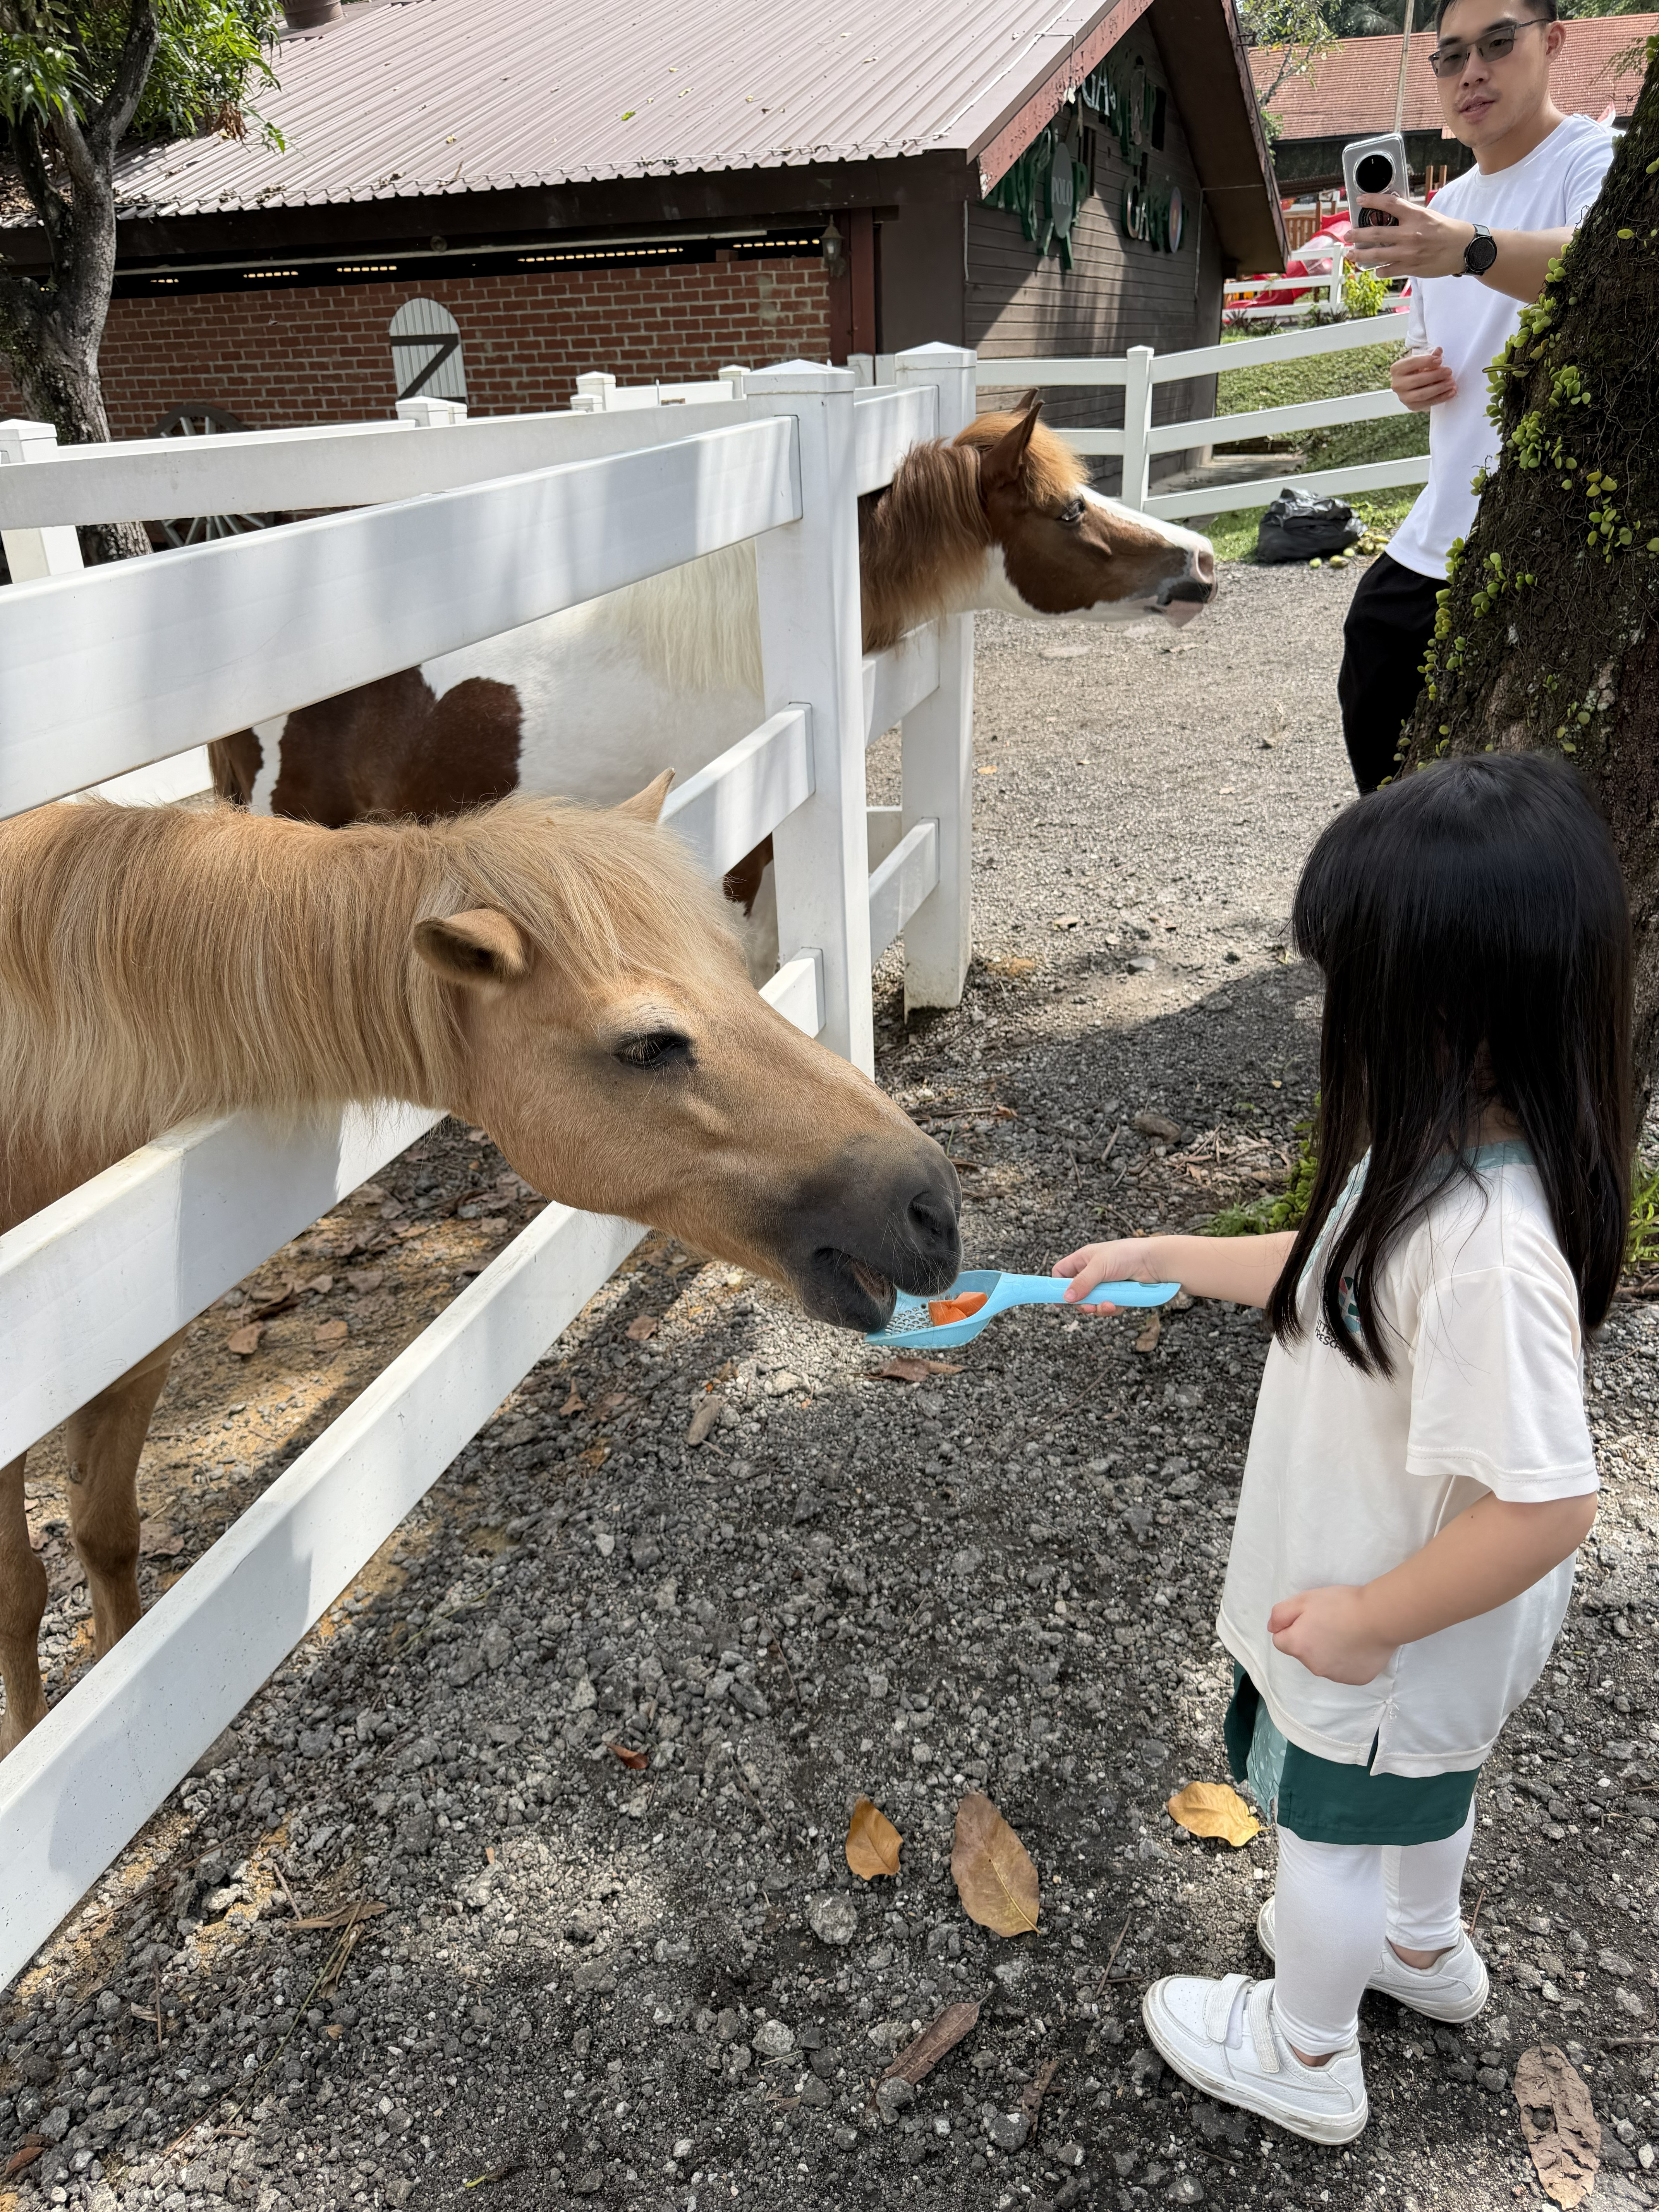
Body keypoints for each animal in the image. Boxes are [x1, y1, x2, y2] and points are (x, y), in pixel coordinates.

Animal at [0, 786, 960, 1751]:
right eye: (647, 1046)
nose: (935, 1206)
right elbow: (21, 1588)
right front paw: (31, 1736)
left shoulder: (133, 1358)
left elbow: (105, 1534)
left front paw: (108, 1686)